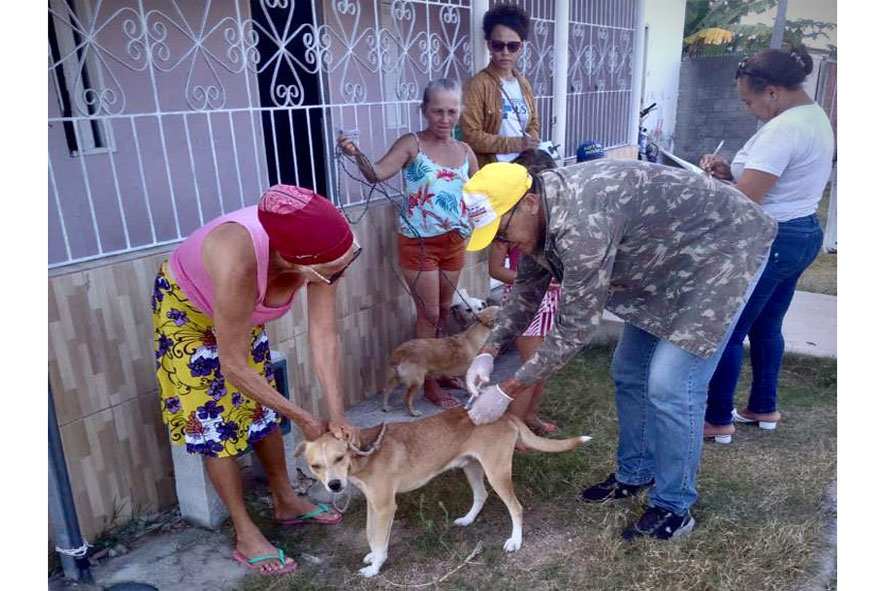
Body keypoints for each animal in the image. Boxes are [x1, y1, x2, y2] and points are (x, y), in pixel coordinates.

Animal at [294, 408, 592, 580]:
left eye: (339, 457)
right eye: (315, 466)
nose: (334, 486)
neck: (365, 452)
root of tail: (505, 413)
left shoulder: (385, 506)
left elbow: (379, 537)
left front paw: (375, 567)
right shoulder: (374, 503)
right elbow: (371, 535)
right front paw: (373, 555)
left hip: (496, 471)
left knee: (516, 507)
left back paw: (515, 541)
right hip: (472, 466)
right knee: (481, 495)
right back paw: (468, 520)